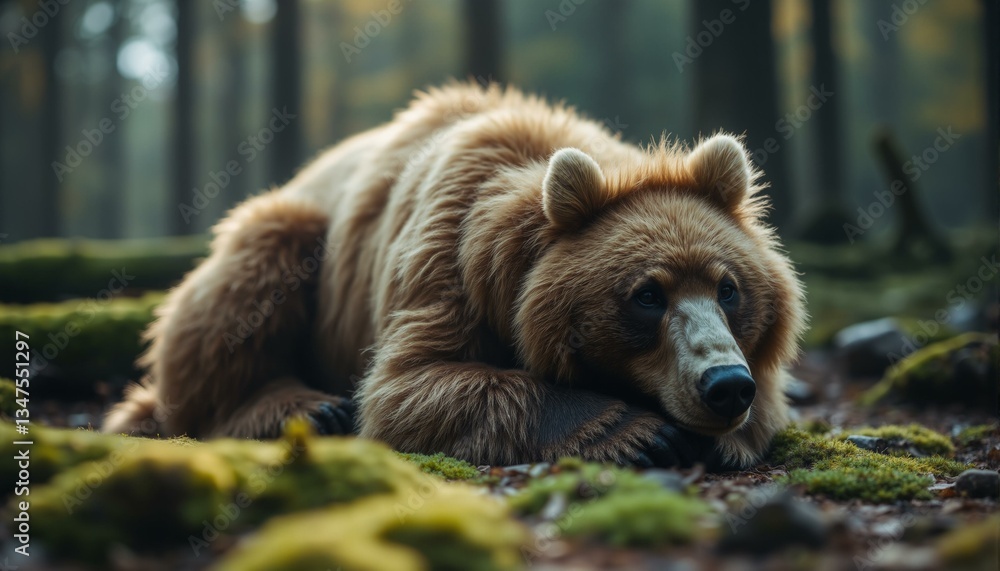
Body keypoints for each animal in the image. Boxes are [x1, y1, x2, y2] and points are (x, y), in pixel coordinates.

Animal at [103, 83, 806, 470]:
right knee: (235, 297)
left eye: (728, 288)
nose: (725, 385)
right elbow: (412, 386)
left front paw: (735, 433)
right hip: (294, 233)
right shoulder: (446, 260)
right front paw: (636, 432)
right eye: (646, 295)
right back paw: (304, 406)